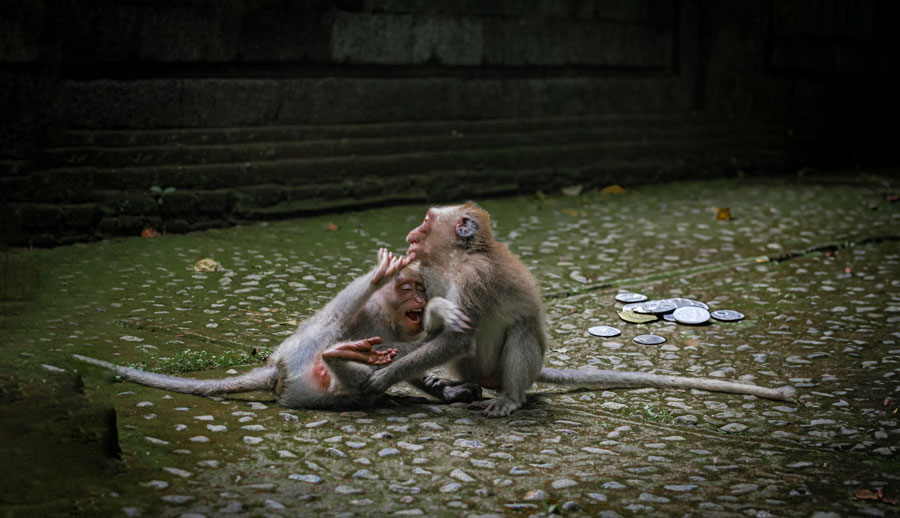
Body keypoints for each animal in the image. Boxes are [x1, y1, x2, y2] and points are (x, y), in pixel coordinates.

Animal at [74, 248, 477, 409]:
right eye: (409, 288)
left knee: (361, 383)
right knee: (331, 326)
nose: (421, 298)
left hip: (309, 387)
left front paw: (443, 387)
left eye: (421, 288)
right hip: (298, 359)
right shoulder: (370, 314)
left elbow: (411, 358)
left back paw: (346, 363)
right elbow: (338, 315)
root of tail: (276, 373)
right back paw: (339, 351)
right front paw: (383, 278)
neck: (388, 317)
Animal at [362, 203, 796, 418]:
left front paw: (384, 376)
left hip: (515, 368)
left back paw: (510, 400)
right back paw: (457, 385)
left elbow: (458, 337)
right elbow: (431, 332)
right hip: (474, 370)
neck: (456, 259)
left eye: (426, 220)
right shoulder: (430, 271)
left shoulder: (476, 277)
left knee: (521, 331)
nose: (412, 233)